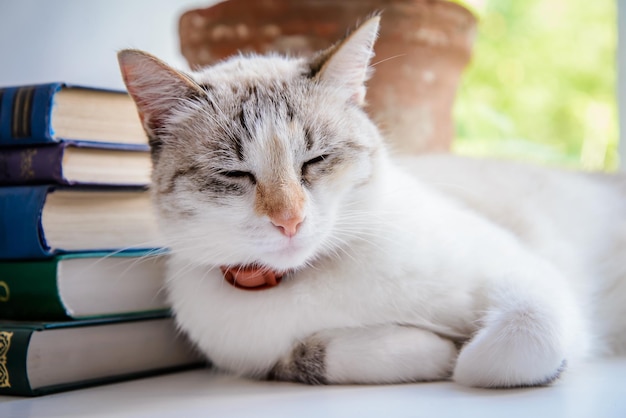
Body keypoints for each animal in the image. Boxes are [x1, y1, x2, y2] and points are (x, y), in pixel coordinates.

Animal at [118, 16, 624, 388]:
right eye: (234, 174)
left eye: (316, 160)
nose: (289, 221)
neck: (310, 277)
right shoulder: (259, 355)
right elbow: (323, 356)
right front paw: (437, 347)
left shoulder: (524, 275)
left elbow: (500, 352)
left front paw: (461, 349)